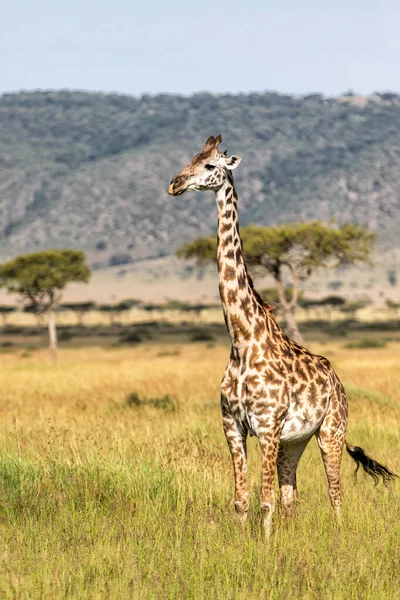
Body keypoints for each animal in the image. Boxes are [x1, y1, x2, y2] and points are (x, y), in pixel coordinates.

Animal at [166, 135, 396, 536]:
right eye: (191, 158)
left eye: (210, 165)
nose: (175, 184)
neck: (242, 340)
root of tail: (337, 380)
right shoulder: (233, 426)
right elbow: (242, 500)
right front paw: (247, 542)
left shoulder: (268, 426)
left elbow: (265, 499)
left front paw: (266, 544)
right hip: (297, 440)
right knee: (292, 494)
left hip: (331, 431)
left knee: (334, 493)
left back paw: (338, 536)